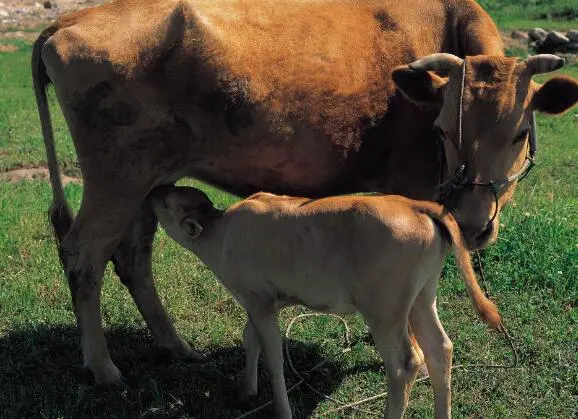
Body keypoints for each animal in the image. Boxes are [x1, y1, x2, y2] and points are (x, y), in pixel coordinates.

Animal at [32, 0, 576, 386]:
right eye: (441, 129)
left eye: (520, 133)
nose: (472, 221)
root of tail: (69, 19)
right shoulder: (409, 185)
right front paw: (418, 356)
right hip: (115, 180)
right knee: (83, 255)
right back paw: (104, 368)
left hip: (146, 183)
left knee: (132, 258)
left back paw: (176, 347)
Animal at [148, 187, 500, 419]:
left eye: (165, 202)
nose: (153, 190)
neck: (220, 234)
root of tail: (414, 204)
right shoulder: (263, 299)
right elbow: (251, 339)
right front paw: (246, 390)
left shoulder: (258, 300)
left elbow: (273, 357)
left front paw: (281, 410)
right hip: (422, 297)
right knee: (440, 348)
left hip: (384, 309)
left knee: (404, 363)